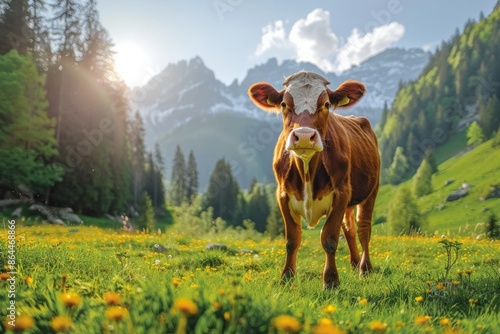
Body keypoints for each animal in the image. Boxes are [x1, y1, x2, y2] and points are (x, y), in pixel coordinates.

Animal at [248, 71, 380, 290]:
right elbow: (292, 239)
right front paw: (287, 277)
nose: (303, 136)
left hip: (371, 190)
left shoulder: (342, 193)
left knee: (363, 228)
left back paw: (365, 269)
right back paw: (354, 264)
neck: (307, 169)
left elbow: (329, 238)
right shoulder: (282, 195)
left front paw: (331, 281)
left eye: (326, 104)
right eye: (283, 104)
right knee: (349, 228)